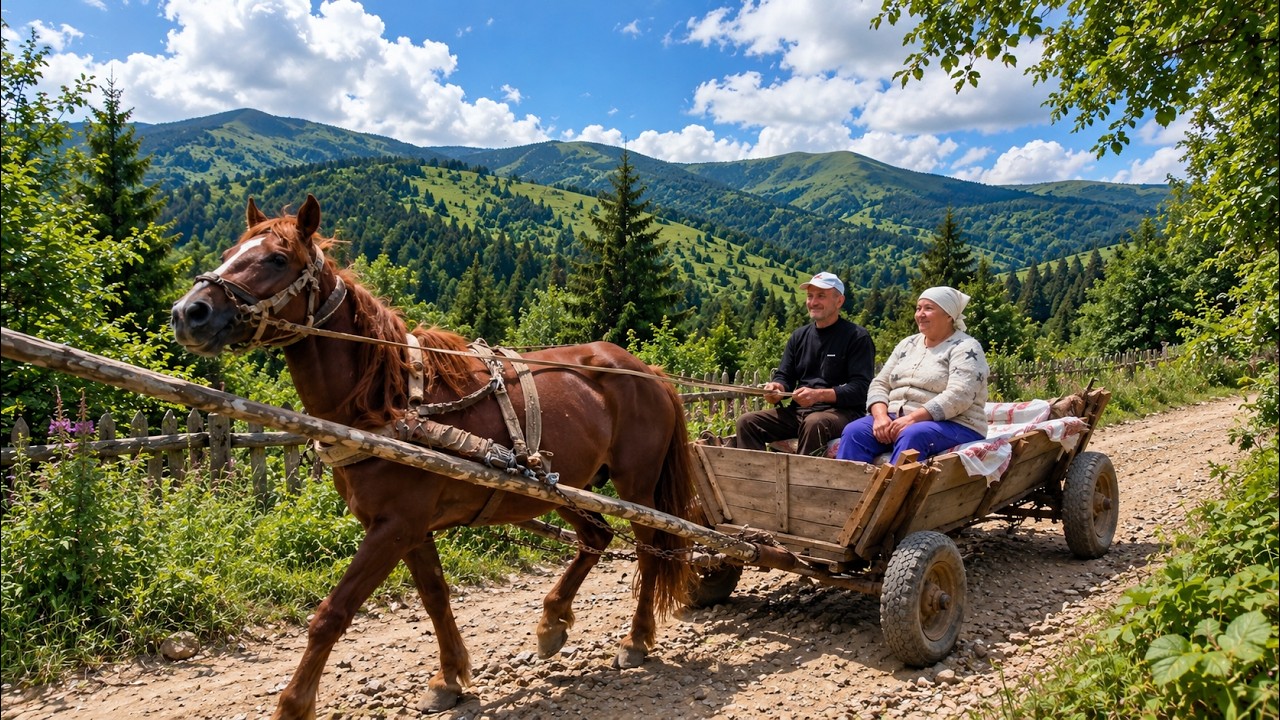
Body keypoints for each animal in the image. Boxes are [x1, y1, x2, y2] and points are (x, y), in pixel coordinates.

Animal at [170, 195, 699, 719]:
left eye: (278, 259)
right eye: (229, 253)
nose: (188, 312)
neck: (386, 401)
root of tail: (647, 370)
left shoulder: (395, 526)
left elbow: (332, 613)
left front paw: (294, 704)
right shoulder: (410, 528)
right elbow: (435, 598)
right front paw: (449, 679)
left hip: (636, 486)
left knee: (650, 551)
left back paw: (636, 639)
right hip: (562, 484)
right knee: (597, 536)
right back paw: (553, 622)